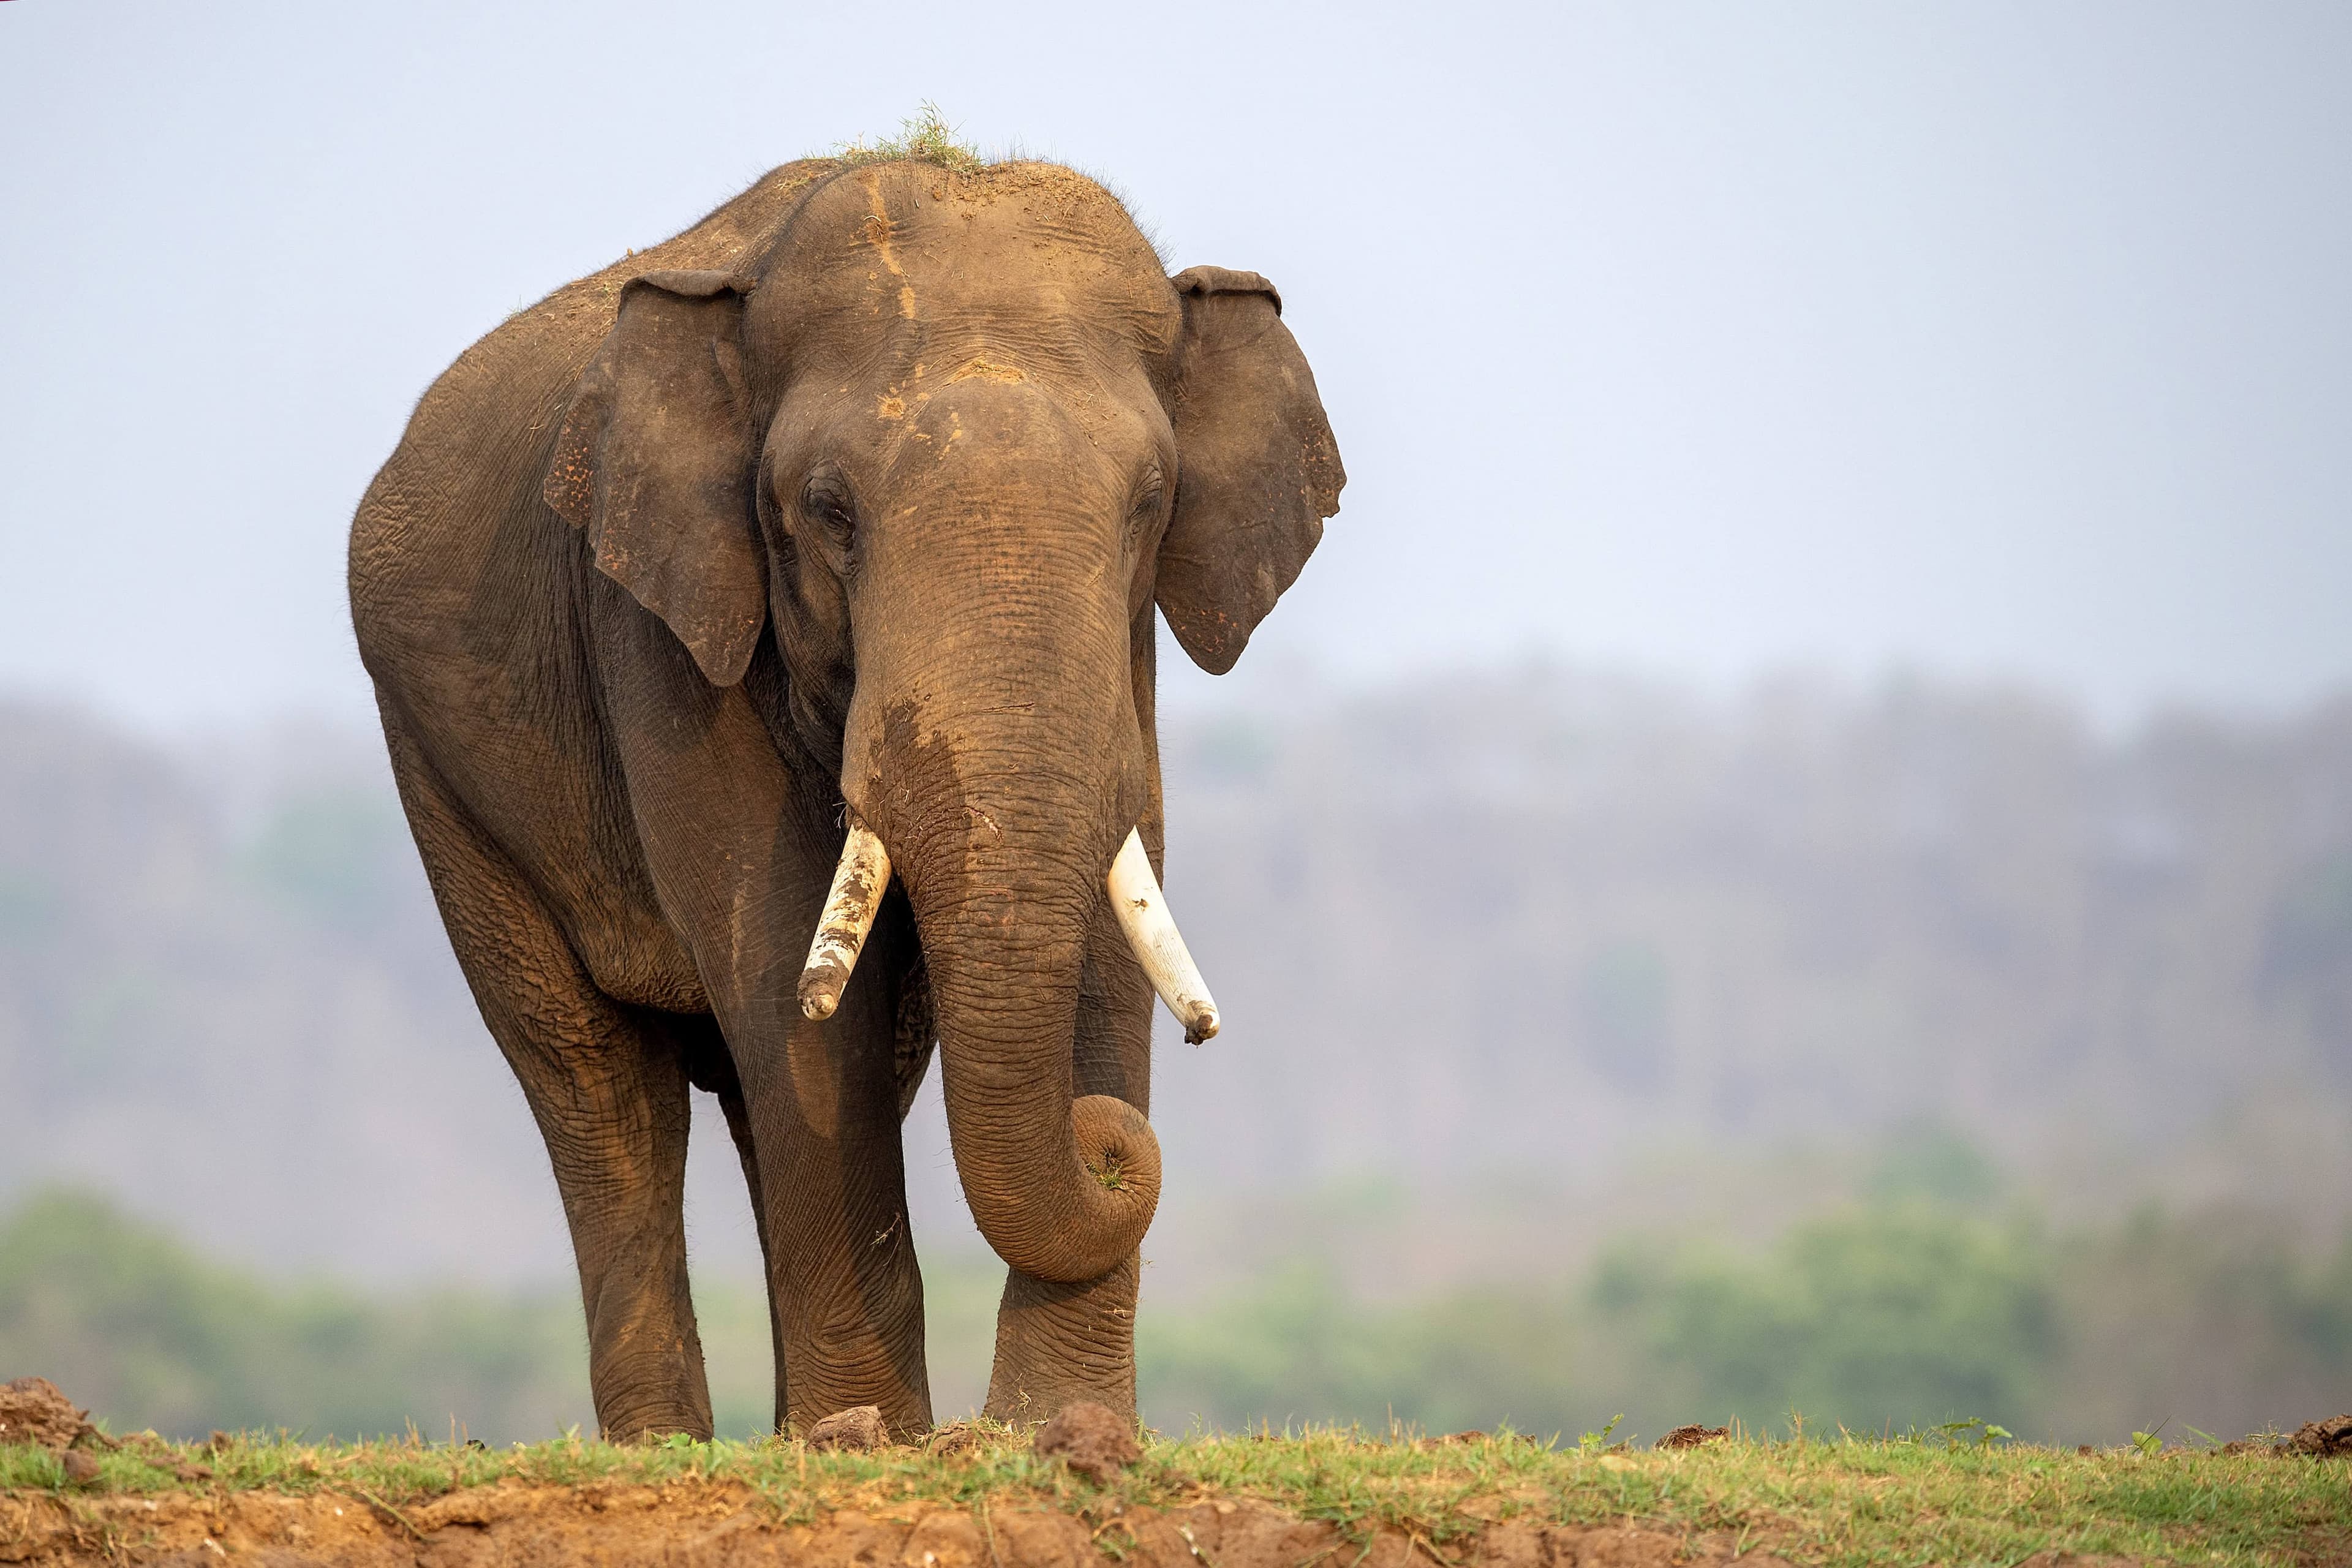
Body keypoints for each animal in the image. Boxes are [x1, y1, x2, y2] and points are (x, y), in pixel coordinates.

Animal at [346, 154, 1343, 1441]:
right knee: (597, 1084)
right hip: (438, 774)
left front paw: (1054, 1432)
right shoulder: (665, 628)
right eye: (828, 511)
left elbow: (1109, 935)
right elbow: (785, 968)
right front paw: (893, 1444)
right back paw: (680, 1443)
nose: (1112, 1145)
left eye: (1151, 502)